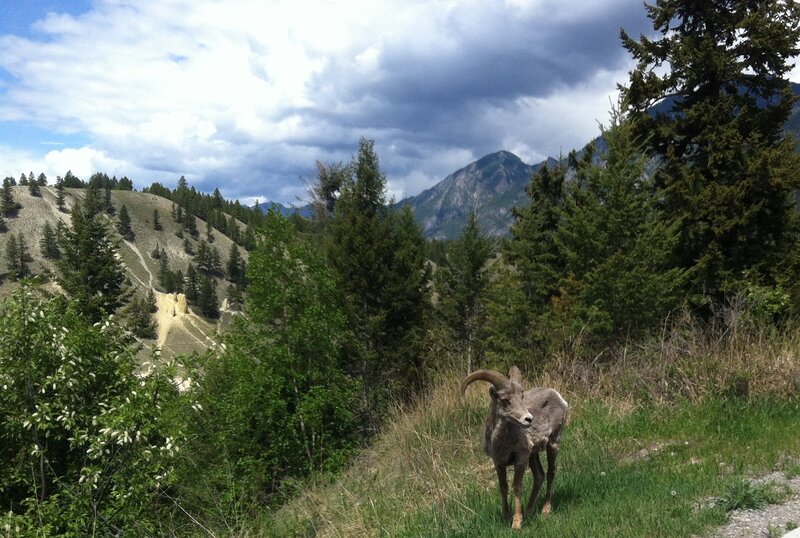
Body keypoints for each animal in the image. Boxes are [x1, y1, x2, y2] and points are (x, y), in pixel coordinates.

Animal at [460, 366, 568, 529]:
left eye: (521, 397)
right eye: (505, 400)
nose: (528, 419)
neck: (500, 442)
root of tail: (558, 396)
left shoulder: (520, 458)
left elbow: (516, 486)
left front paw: (516, 522)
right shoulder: (498, 462)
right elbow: (503, 487)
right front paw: (506, 516)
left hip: (553, 444)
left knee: (551, 472)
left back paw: (545, 509)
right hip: (533, 454)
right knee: (539, 476)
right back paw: (529, 510)